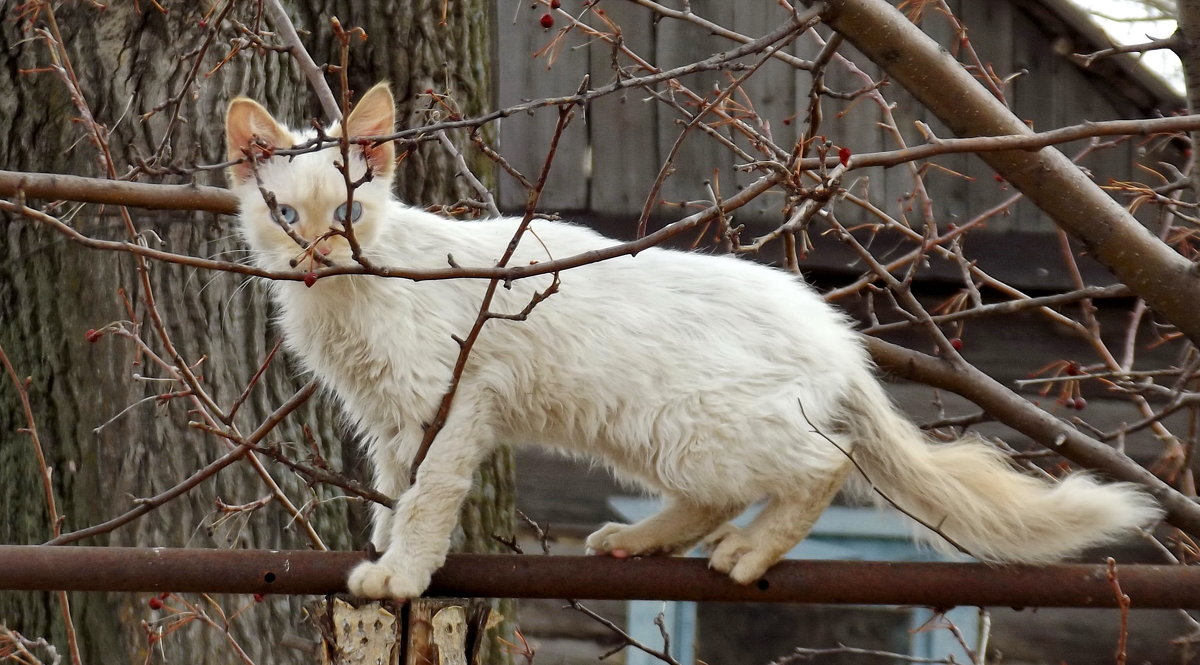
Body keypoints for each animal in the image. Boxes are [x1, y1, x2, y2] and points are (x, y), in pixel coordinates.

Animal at [223, 82, 1161, 595]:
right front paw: (383, 552)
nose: (317, 254)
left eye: (348, 212)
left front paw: (403, 571)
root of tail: (835, 338)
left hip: (699, 422)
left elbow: (424, 498)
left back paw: (746, 552)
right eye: (287, 216)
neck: (348, 304)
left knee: (821, 468)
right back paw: (640, 540)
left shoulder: (447, 407)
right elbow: (393, 489)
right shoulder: (388, 419)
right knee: (721, 493)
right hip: (649, 433)